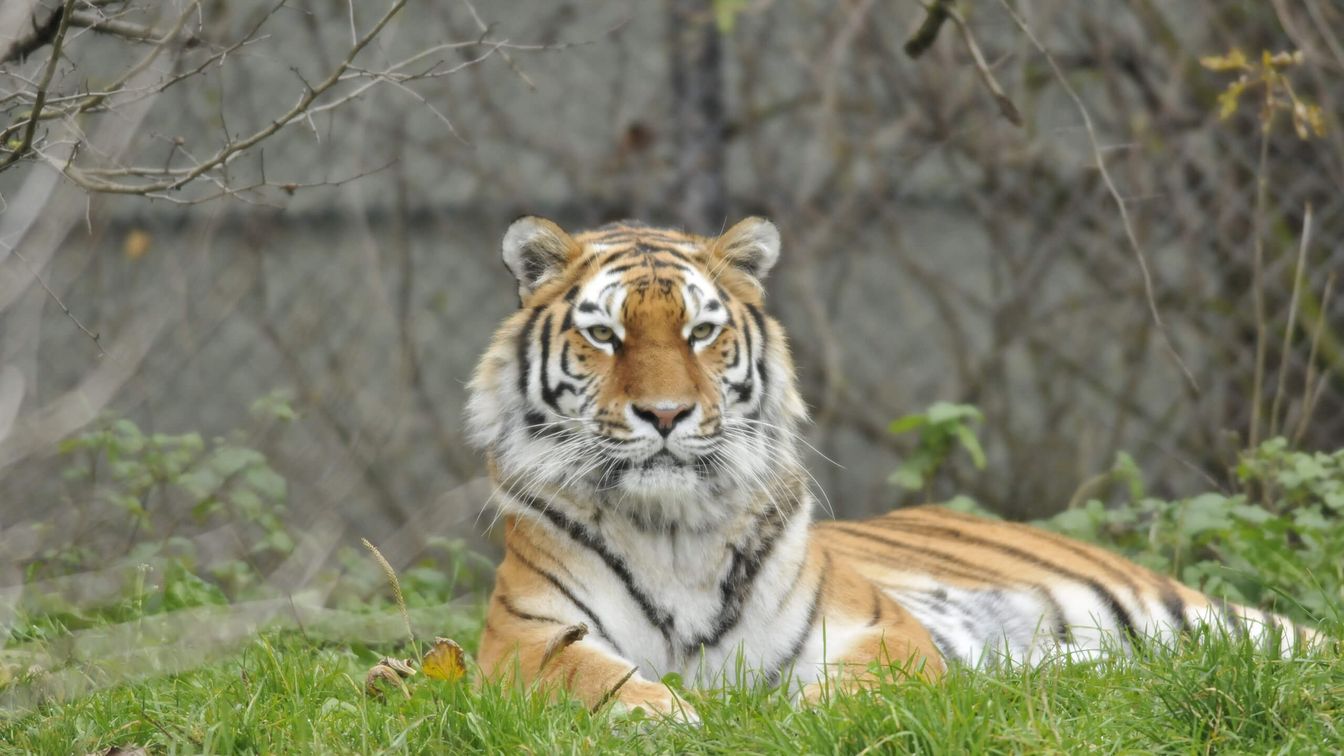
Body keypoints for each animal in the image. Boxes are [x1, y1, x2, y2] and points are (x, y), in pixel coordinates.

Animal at [465, 215, 1321, 722]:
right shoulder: (522, 637)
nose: (667, 414)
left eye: (701, 332)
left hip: (1197, 617)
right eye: (604, 336)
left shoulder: (874, 625)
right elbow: (586, 677)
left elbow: (868, 681)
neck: (671, 531)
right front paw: (660, 718)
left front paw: (803, 719)